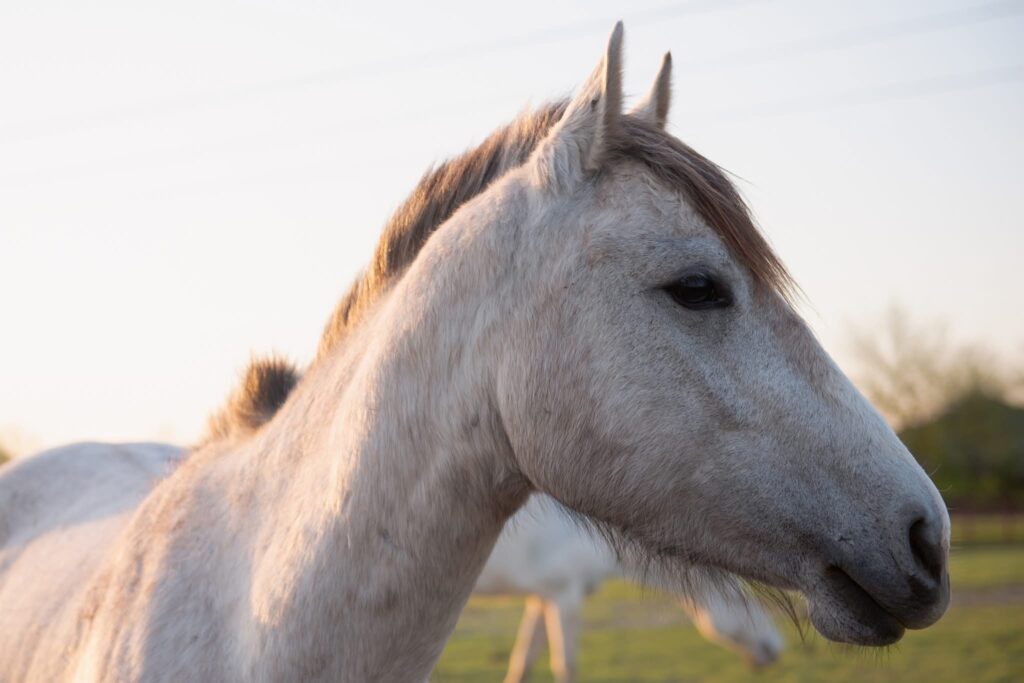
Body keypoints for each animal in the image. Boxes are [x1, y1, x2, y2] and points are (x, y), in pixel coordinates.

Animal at [475, 495, 784, 683]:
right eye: (740, 600)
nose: (776, 647)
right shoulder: (565, 598)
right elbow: (565, 665)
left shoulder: (542, 599)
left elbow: (523, 662)